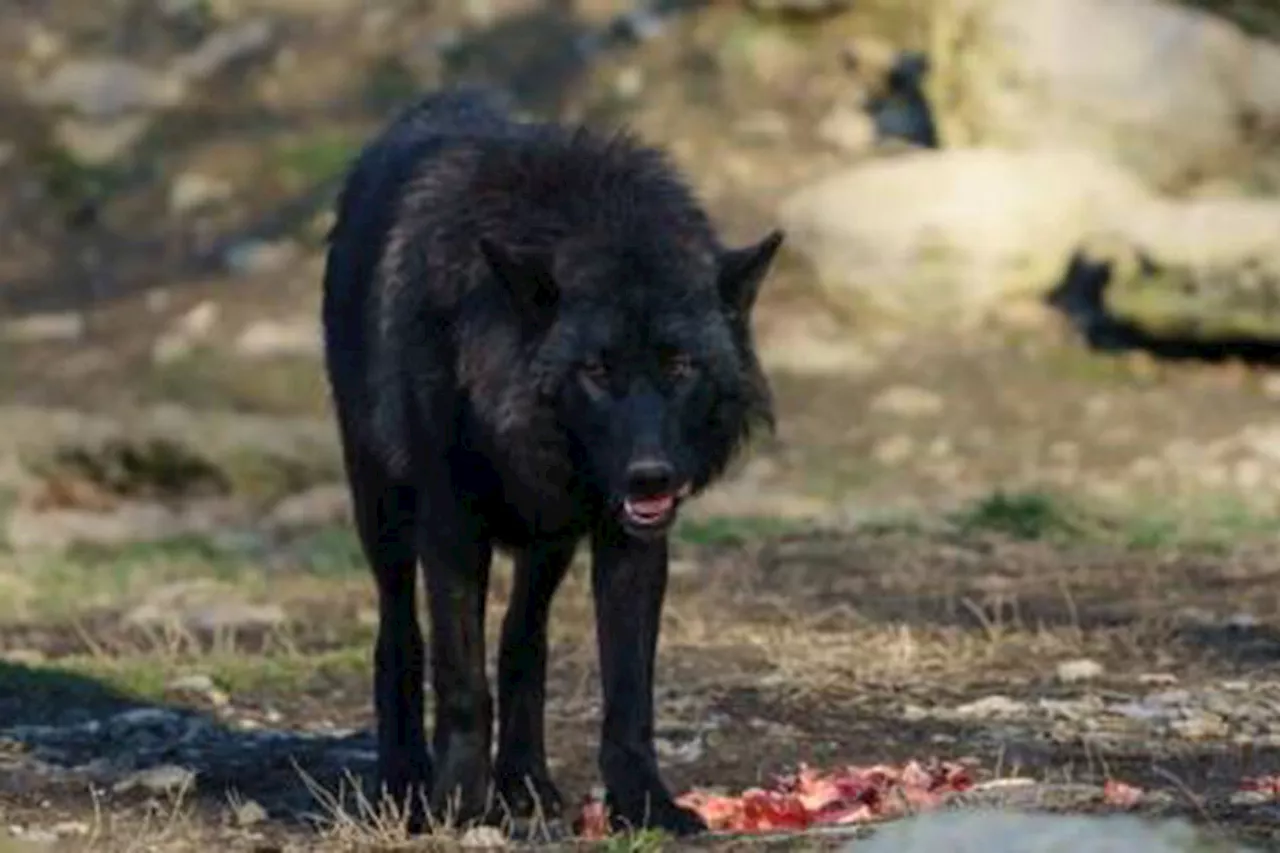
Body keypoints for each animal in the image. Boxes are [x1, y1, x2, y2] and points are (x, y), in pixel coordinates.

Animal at [322, 89, 778, 835]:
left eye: (680, 365)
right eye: (596, 368)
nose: (651, 475)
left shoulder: (629, 542)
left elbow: (628, 694)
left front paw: (646, 804)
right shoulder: (452, 531)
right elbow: (461, 680)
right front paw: (455, 802)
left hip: (549, 547)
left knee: (522, 641)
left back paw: (526, 783)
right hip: (381, 510)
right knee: (399, 633)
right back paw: (405, 778)